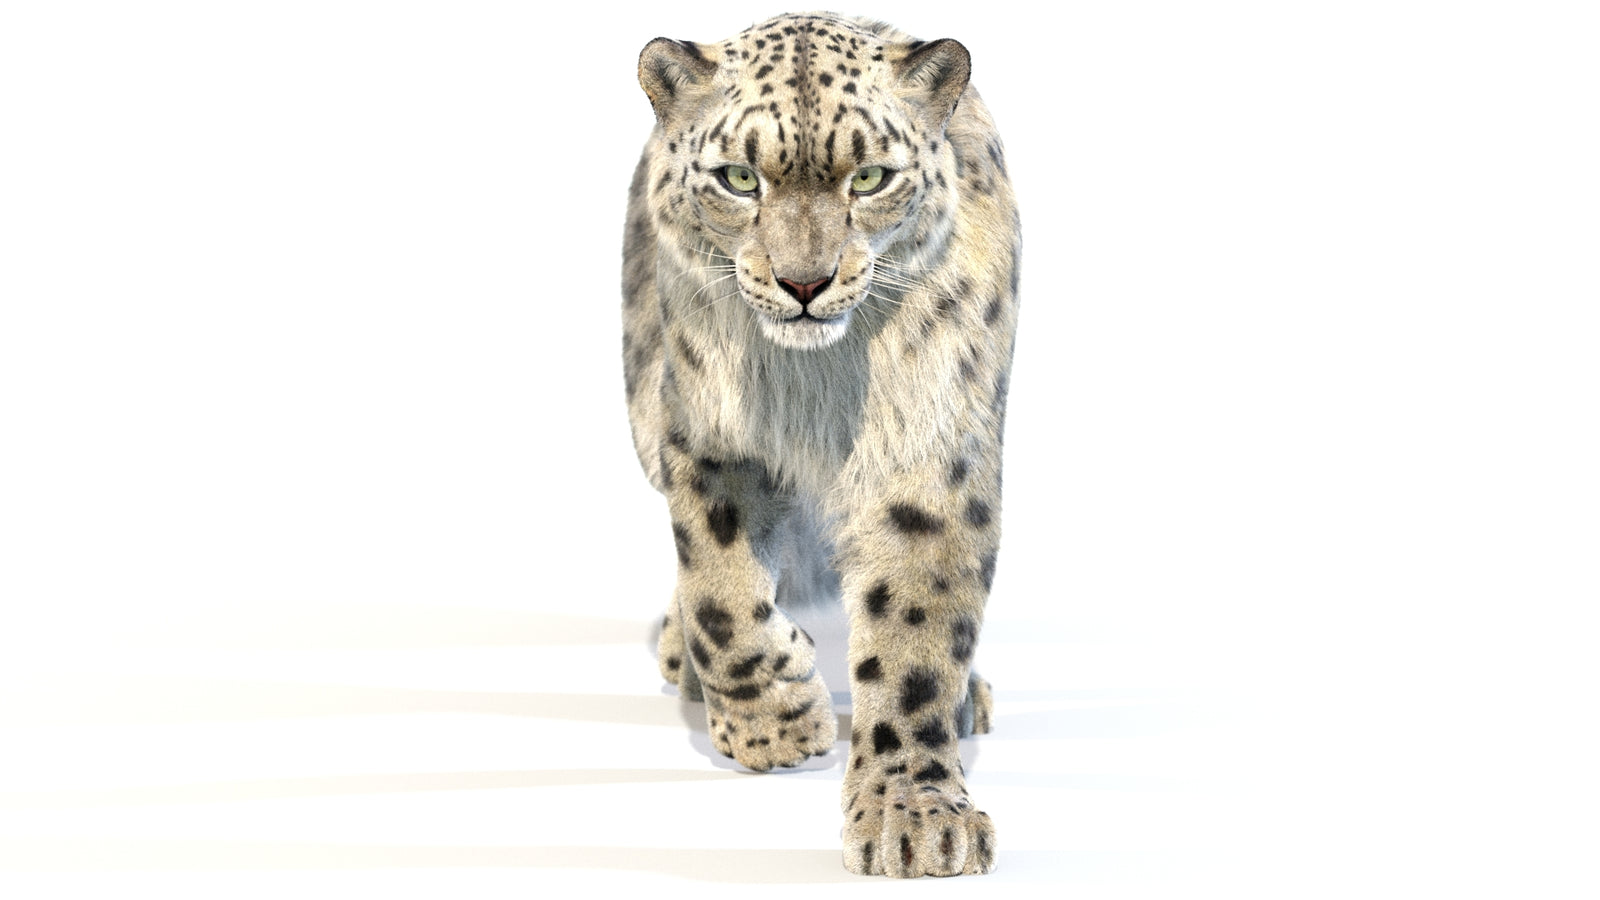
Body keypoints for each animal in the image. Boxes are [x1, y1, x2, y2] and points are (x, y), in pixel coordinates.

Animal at [620, 12, 1019, 878]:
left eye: (867, 178)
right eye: (740, 178)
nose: (804, 282)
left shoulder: (927, 453)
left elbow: (913, 638)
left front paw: (916, 817)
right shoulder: (707, 440)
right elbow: (721, 596)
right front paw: (777, 726)